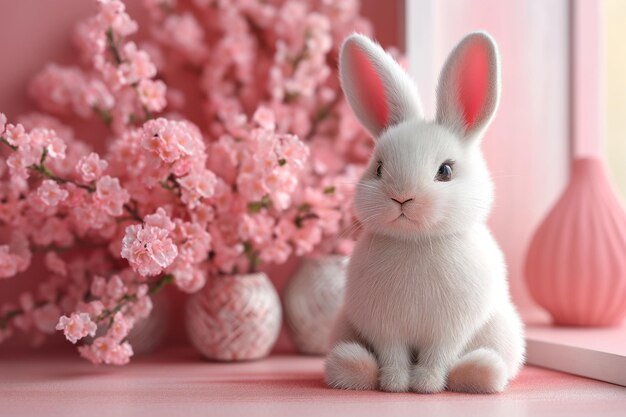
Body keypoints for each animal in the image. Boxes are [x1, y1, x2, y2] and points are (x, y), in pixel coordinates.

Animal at [324, 33, 524, 394]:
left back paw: (481, 371)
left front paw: (426, 386)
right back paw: (353, 366)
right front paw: (394, 385)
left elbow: (437, 356)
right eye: (378, 168)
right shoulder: (385, 328)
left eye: (445, 171)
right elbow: (393, 355)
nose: (402, 197)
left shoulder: (449, 330)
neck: (416, 242)